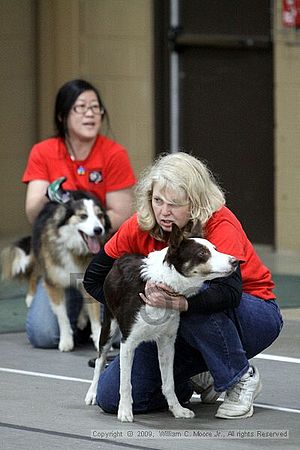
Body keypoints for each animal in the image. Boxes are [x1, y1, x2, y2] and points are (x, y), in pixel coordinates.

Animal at [0, 190, 110, 352]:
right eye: (83, 216)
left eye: (100, 216)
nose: (98, 230)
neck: (74, 249)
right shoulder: (53, 283)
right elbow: (62, 316)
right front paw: (66, 340)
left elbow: (95, 316)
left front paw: (98, 340)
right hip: (39, 250)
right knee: (35, 270)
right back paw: (30, 296)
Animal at [85, 225, 238, 422]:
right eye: (202, 253)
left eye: (216, 249)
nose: (235, 261)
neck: (165, 282)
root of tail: (122, 258)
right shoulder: (128, 342)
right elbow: (125, 383)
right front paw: (125, 411)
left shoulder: (167, 342)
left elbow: (169, 383)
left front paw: (177, 410)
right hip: (109, 325)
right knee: (100, 360)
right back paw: (92, 393)